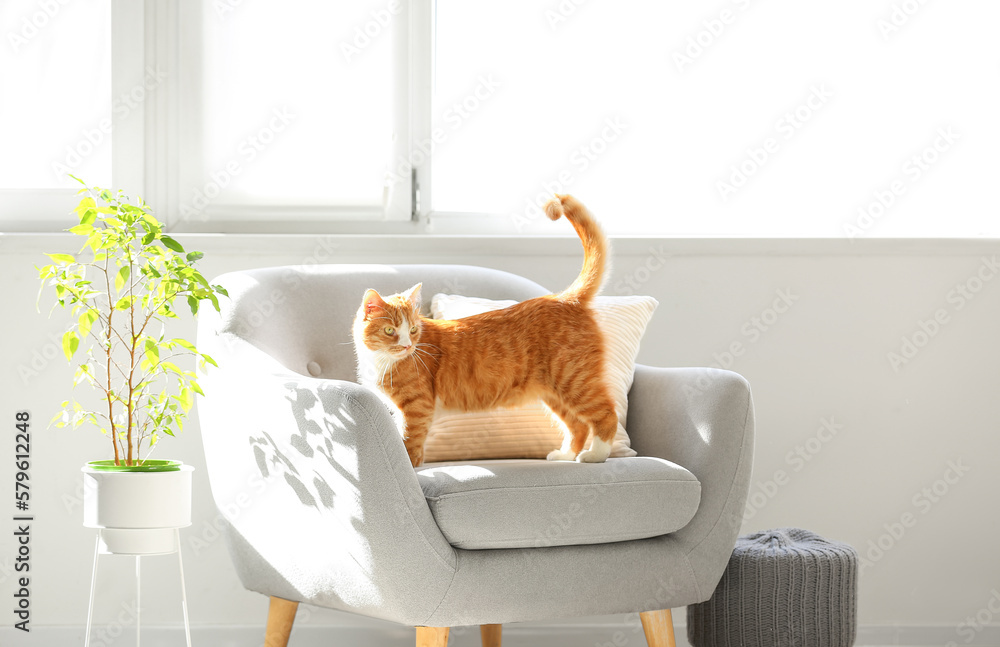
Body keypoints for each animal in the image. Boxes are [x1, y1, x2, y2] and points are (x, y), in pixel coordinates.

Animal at [352, 195, 616, 468]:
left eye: (413, 329)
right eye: (390, 330)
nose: (407, 345)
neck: (380, 361)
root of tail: (564, 297)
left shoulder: (417, 408)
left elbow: (409, 445)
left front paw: (413, 469)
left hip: (575, 381)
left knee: (606, 414)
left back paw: (596, 454)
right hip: (553, 392)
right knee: (576, 425)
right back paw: (566, 455)